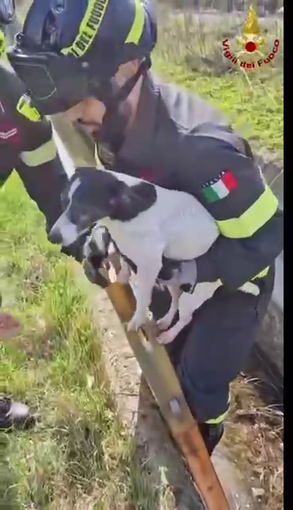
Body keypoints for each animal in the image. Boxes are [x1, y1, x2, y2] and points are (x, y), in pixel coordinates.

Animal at [48, 168, 258, 342]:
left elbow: (142, 297)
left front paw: (138, 319)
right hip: (174, 283)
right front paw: (121, 278)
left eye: (83, 209)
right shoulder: (129, 252)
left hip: (194, 294)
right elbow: (124, 266)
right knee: (174, 302)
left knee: (185, 317)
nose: (52, 237)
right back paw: (165, 321)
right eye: (62, 201)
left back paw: (168, 335)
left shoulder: (150, 265)